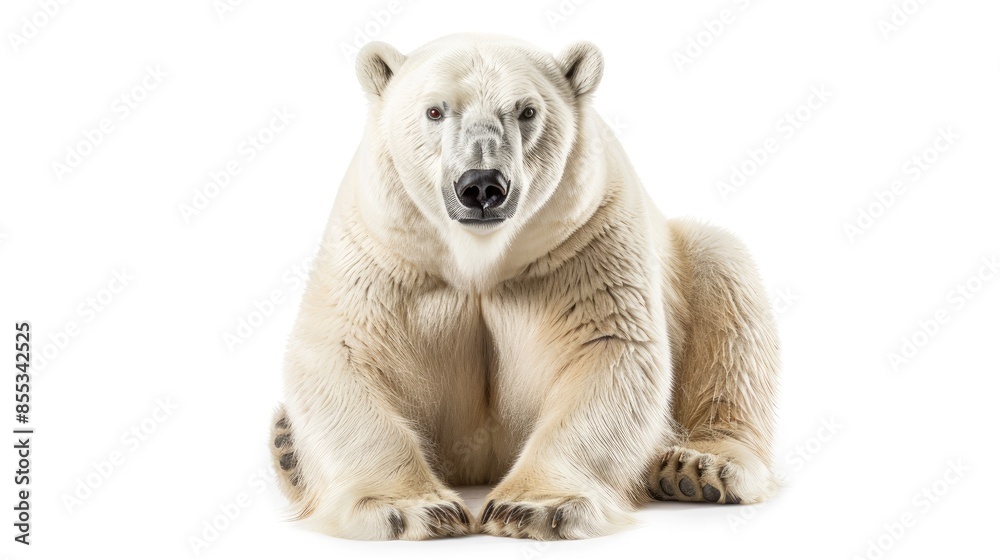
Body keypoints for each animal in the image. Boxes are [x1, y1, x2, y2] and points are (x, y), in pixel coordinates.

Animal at [270, 33, 780, 540]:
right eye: (435, 110)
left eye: (527, 111)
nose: (481, 185)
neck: (478, 260)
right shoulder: (386, 250)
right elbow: (341, 353)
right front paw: (413, 509)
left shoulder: (587, 239)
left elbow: (611, 351)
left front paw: (532, 507)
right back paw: (288, 447)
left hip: (694, 264)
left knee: (730, 302)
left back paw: (697, 469)